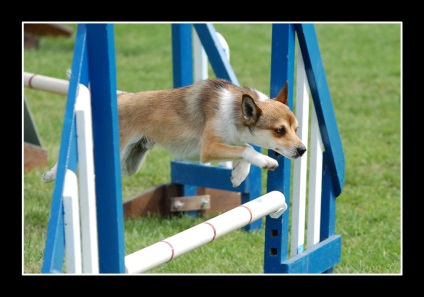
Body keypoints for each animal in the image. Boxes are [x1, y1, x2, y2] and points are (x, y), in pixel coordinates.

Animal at [43, 77, 306, 186]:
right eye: (279, 130)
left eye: (296, 129)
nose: (303, 150)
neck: (234, 112)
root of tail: (118, 99)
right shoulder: (209, 149)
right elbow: (248, 148)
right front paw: (265, 161)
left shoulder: (227, 143)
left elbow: (244, 149)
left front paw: (239, 175)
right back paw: (51, 175)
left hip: (130, 161)